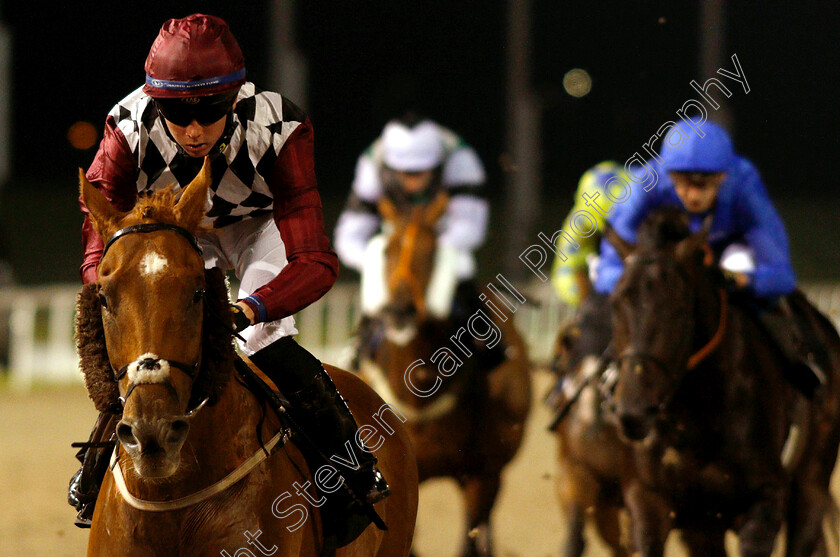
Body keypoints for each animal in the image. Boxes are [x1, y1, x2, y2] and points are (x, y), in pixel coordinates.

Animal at [356, 192, 532, 556]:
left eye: (431, 252)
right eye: (388, 250)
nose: (401, 310)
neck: (420, 391)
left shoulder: (482, 474)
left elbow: (470, 536)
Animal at [604, 207, 840, 556]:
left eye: (679, 308)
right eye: (616, 303)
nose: (633, 412)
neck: (695, 418)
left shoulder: (765, 498)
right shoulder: (649, 500)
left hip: (812, 482)